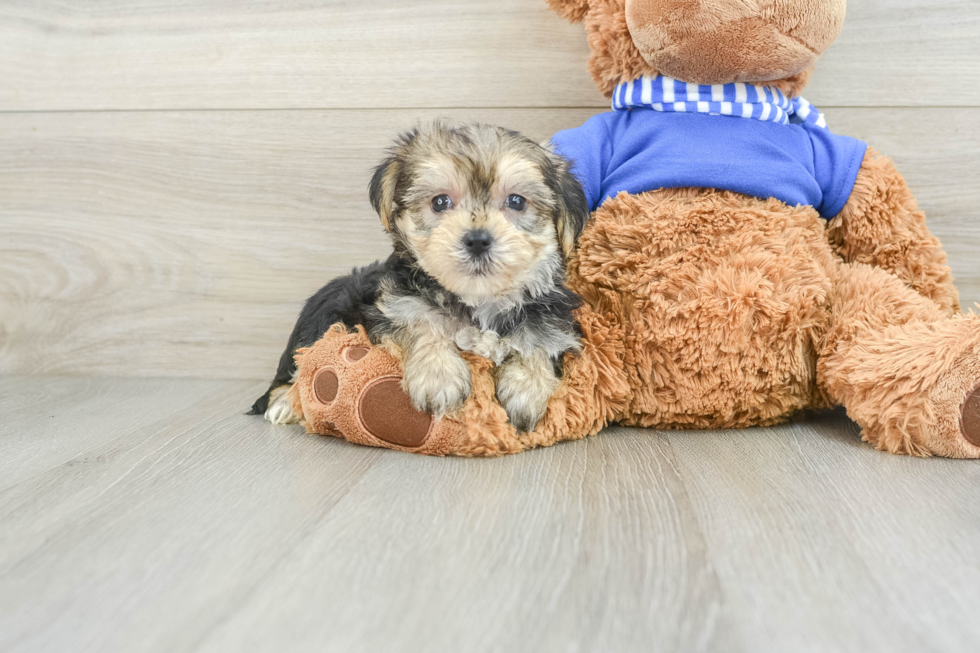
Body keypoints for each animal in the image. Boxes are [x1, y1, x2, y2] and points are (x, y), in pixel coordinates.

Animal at [253, 123, 588, 432]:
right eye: (440, 202)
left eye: (517, 201)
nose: (478, 239)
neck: (478, 301)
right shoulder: (396, 303)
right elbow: (421, 320)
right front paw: (438, 377)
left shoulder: (549, 320)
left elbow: (539, 343)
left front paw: (528, 388)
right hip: (326, 311)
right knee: (297, 366)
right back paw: (284, 403)